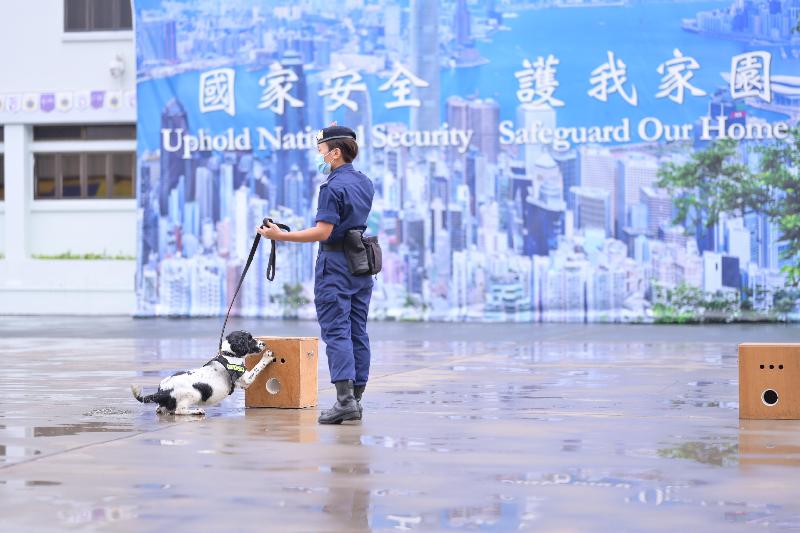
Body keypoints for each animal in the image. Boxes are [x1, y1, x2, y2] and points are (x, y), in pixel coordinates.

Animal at [131, 330, 276, 414]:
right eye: (249, 339)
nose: (264, 343)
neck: (228, 354)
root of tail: (162, 391)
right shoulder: (246, 379)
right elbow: (258, 367)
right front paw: (267, 356)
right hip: (194, 394)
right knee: (179, 411)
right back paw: (196, 411)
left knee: (160, 409)